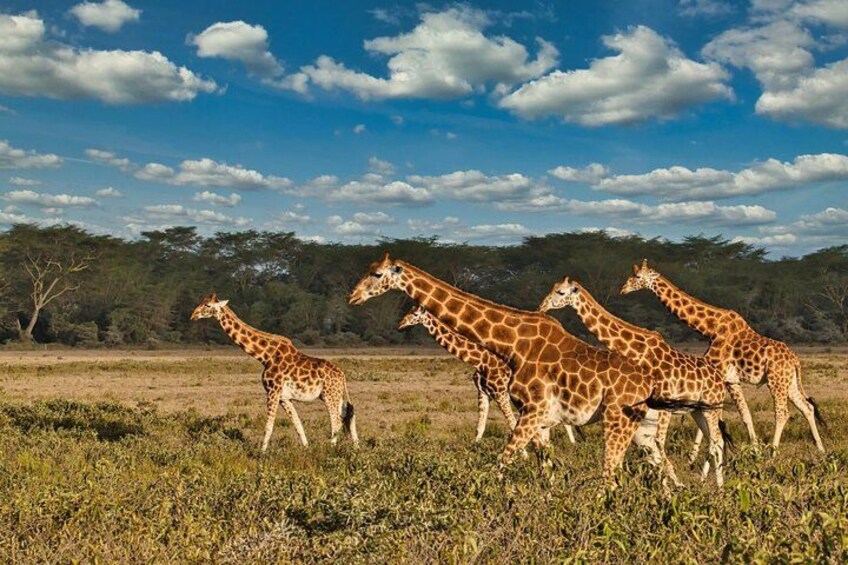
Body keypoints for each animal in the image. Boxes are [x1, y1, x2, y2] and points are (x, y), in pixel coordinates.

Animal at [191, 293, 358, 451]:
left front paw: (261, 453)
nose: (193, 315)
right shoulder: (284, 397)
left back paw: (332, 448)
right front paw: (306, 449)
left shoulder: (273, 391)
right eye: (201, 302)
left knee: (336, 422)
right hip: (335, 396)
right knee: (348, 417)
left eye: (208, 305)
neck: (265, 356)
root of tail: (342, 375)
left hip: (330, 395)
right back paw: (356, 448)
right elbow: (298, 425)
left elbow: (268, 426)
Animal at [398, 305, 577, 445]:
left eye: (415, 314)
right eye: (408, 311)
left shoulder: (500, 394)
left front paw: (524, 457)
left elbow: (512, 424)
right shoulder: (483, 393)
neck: (481, 361)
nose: (400, 325)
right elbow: (480, 426)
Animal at [539, 277, 732, 486]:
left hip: (711, 407)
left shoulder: (661, 404)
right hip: (698, 410)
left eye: (561, 292)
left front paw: (671, 484)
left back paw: (718, 487)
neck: (635, 349)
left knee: (717, 441)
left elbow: (657, 444)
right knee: (715, 440)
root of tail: (719, 379)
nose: (542, 306)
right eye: (553, 287)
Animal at [622, 259, 825, 457]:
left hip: (776, 380)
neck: (710, 329)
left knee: (782, 412)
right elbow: (745, 415)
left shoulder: (719, 375)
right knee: (807, 407)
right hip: (789, 382)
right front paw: (754, 450)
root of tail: (795, 360)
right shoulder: (730, 380)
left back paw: (774, 453)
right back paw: (820, 448)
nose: (623, 289)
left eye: (637, 276)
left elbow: (716, 417)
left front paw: (697, 455)